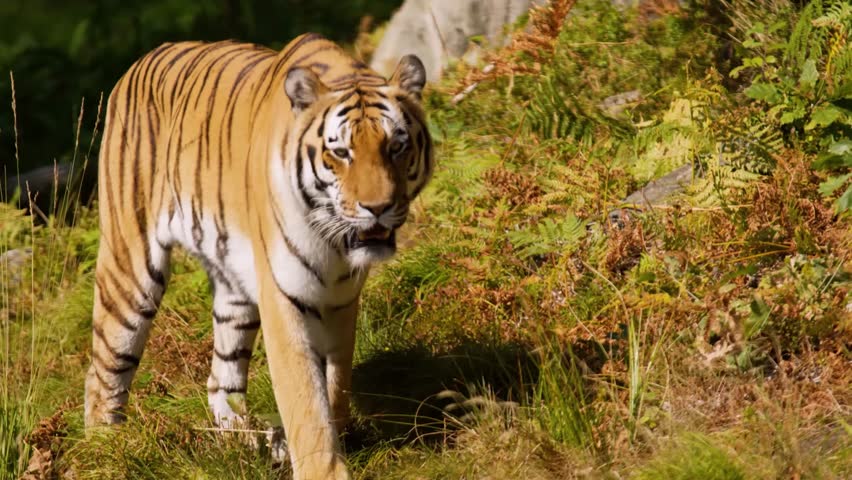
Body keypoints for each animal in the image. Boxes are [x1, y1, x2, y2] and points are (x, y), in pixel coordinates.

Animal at [83, 33, 433, 480]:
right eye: (341, 153)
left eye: (396, 146)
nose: (377, 208)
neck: (335, 243)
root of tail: (142, 59)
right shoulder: (284, 296)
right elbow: (304, 395)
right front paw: (323, 467)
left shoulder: (341, 298)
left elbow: (336, 378)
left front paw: (338, 434)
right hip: (130, 269)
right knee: (102, 372)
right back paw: (108, 451)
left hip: (235, 285)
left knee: (220, 380)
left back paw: (252, 444)